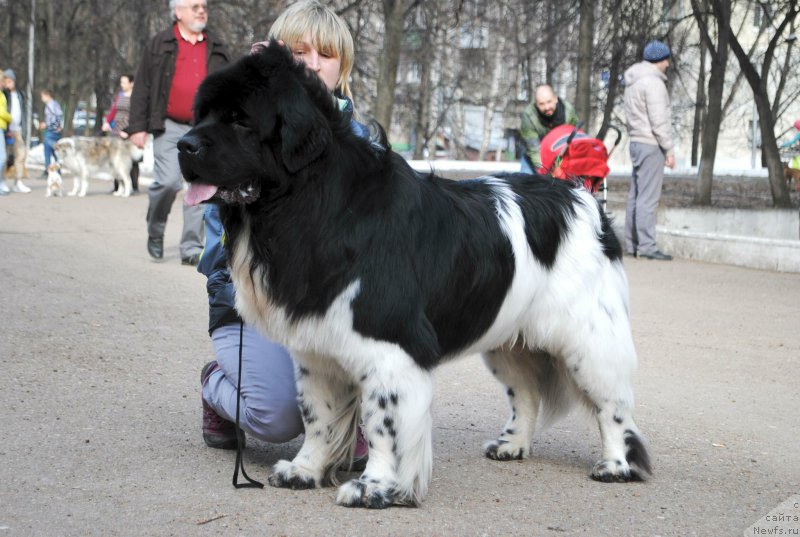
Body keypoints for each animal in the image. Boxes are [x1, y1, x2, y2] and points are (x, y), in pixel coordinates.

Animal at [180, 42, 648, 506]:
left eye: (240, 119)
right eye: (201, 115)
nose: (184, 145)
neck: (315, 201)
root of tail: (583, 197)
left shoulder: (391, 348)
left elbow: (384, 423)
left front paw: (376, 487)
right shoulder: (316, 349)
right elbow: (317, 416)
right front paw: (304, 470)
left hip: (588, 339)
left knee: (613, 404)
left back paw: (616, 466)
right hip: (506, 335)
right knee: (527, 392)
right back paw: (513, 444)